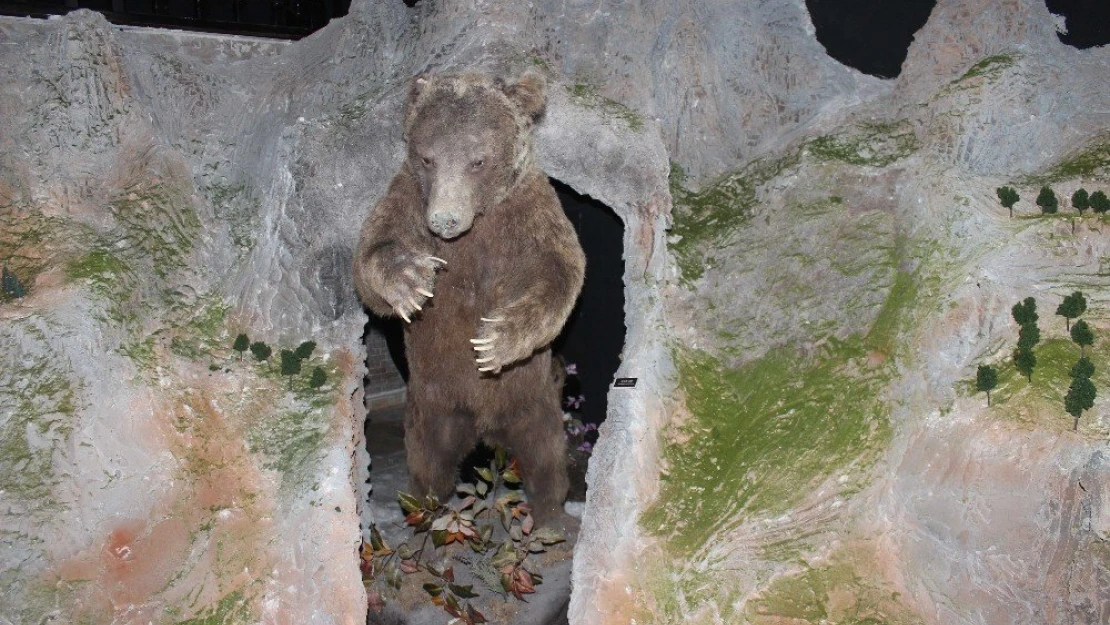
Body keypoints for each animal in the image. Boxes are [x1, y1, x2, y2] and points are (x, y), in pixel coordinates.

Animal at [355, 71, 590, 526]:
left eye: (477, 160)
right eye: (427, 158)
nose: (444, 220)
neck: (477, 224)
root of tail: (485, 429)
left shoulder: (530, 215)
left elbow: (559, 273)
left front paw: (494, 339)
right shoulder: (407, 199)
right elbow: (372, 256)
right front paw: (411, 281)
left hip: (531, 399)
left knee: (545, 456)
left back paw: (551, 514)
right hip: (433, 403)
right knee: (429, 461)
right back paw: (424, 510)